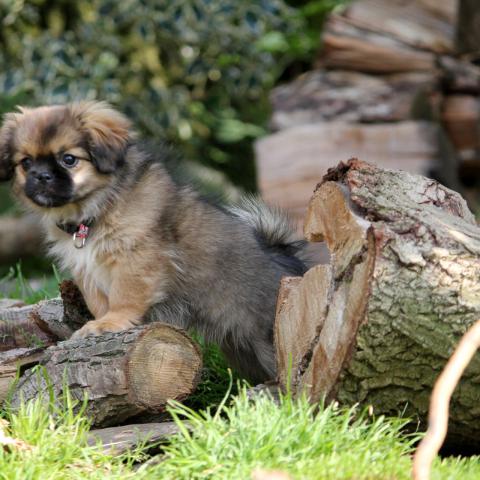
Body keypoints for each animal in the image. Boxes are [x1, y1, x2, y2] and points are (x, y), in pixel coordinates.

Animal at [0, 102, 308, 382]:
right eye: (25, 163)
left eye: (68, 159)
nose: (41, 176)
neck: (95, 210)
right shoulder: (87, 270)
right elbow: (99, 301)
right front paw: (99, 324)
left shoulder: (136, 259)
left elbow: (123, 297)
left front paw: (111, 323)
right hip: (244, 348)